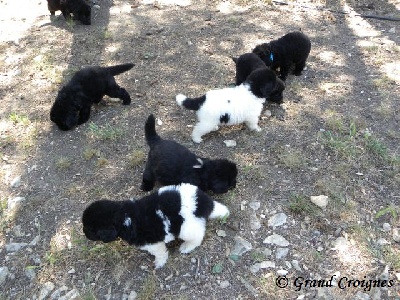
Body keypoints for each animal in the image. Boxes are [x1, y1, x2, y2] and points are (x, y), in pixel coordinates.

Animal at [81, 184, 230, 268]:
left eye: (90, 229)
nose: (84, 232)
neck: (124, 217)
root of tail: (202, 200)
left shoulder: (152, 242)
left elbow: (159, 253)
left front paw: (160, 263)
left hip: (186, 226)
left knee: (197, 236)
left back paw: (187, 246)